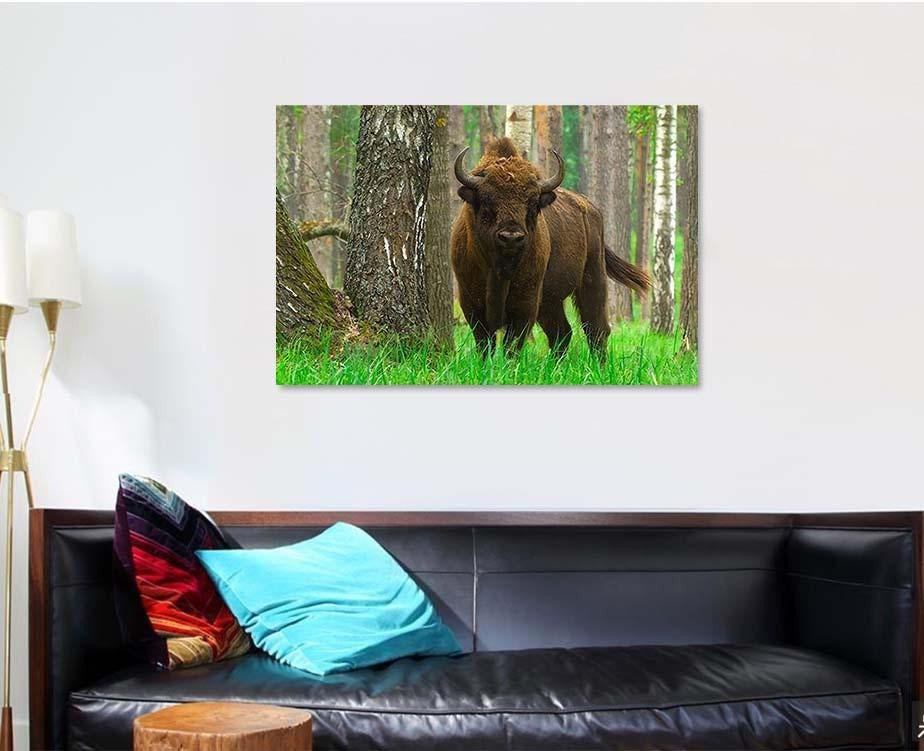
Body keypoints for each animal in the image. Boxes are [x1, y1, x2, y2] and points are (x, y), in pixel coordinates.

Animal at [451, 137, 650, 358]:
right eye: (486, 201)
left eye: (532, 204)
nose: (511, 237)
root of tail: (590, 208)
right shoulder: (471, 302)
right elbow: (485, 343)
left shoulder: (526, 303)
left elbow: (513, 344)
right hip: (550, 301)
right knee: (562, 332)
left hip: (592, 278)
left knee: (596, 329)